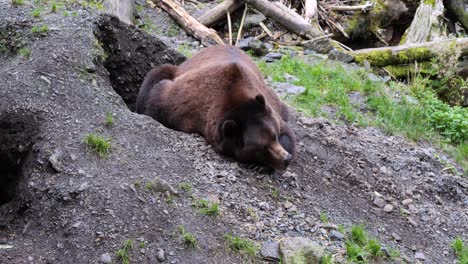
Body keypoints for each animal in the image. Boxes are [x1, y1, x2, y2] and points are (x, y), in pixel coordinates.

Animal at [136, 45, 296, 170]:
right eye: (260, 148)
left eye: (274, 135)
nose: (286, 159)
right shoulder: (183, 104)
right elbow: (157, 102)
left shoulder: (269, 106)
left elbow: (287, 132)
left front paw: (260, 166)